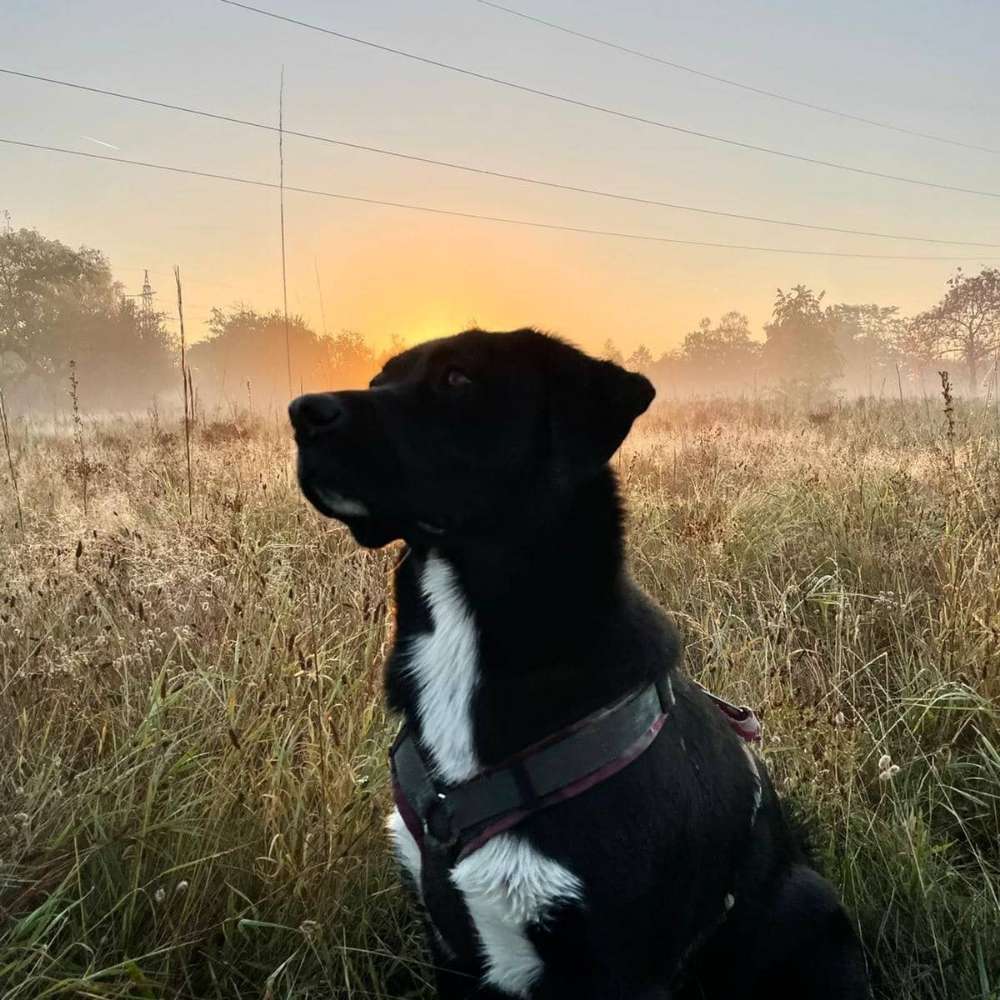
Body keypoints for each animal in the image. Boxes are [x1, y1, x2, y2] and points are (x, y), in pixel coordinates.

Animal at [288, 330, 868, 1000]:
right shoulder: (449, 947)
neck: (467, 641)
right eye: (379, 379)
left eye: (458, 379)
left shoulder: (617, 963)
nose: (302, 412)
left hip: (809, 913)